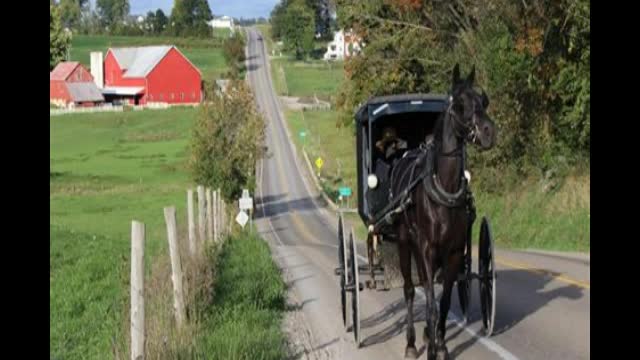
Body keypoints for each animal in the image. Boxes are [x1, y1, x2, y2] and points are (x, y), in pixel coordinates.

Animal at [388, 64, 498, 360]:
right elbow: (429, 301)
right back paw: (412, 342)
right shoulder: (427, 249)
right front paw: (431, 349)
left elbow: (444, 301)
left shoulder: (453, 253)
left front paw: (441, 343)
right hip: (405, 242)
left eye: (483, 100)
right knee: (410, 290)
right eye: (459, 104)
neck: (444, 191)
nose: (488, 132)